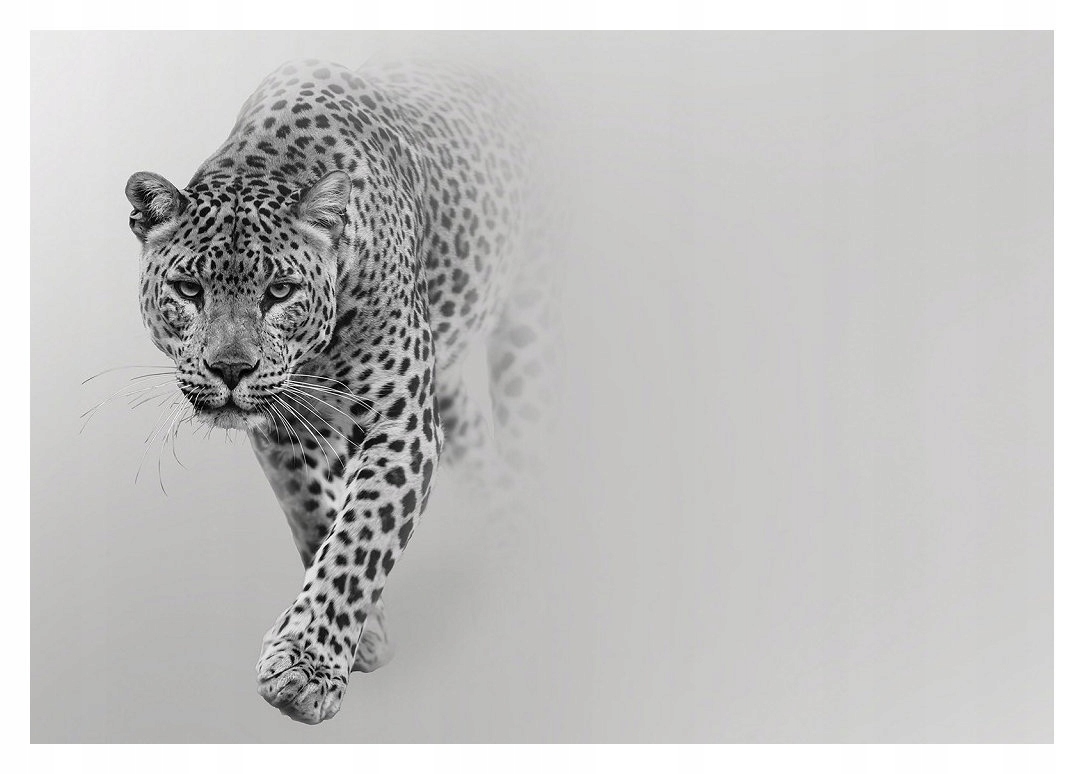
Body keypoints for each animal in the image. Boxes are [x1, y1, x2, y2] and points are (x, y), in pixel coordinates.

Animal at [124, 58, 553, 725]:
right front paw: (364, 635)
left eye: (279, 291)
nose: (230, 369)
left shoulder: (403, 427)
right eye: (189, 289)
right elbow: (314, 517)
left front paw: (307, 668)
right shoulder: (283, 430)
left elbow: (361, 537)